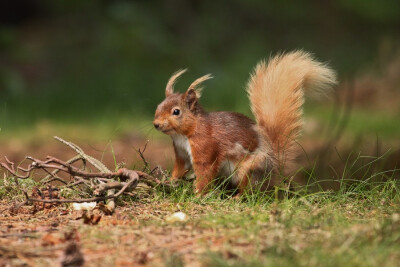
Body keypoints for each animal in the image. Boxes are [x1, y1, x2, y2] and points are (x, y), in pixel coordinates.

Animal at [155, 50, 336, 197]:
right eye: (158, 106)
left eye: (176, 112)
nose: (156, 124)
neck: (184, 134)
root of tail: (274, 166)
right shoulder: (181, 154)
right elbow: (180, 168)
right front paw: (168, 181)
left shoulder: (206, 150)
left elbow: (204, 173)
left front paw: (198, 194)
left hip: (248, 170)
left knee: (250, 191)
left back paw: (236, 197)